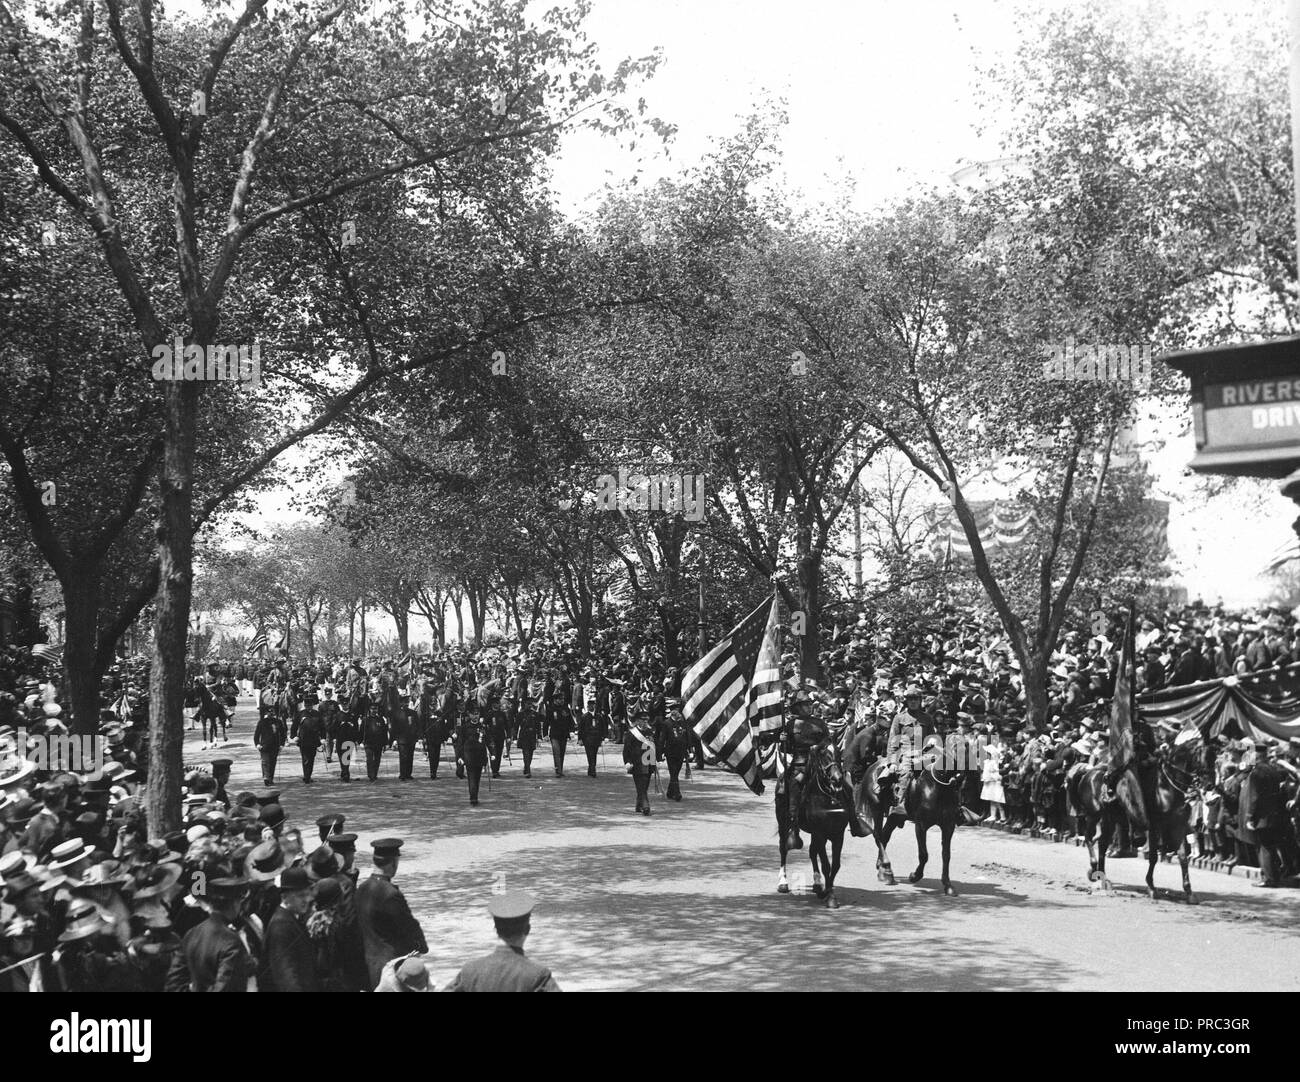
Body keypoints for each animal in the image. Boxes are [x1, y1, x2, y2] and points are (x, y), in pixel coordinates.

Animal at [774, 743, 847, 905]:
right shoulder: (820, 833)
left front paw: (827, 891)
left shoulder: (838, 835)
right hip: (783, 823)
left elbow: (835, 865)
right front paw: (830, 896)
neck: (828, 800)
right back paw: (783, 882)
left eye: (839, 753)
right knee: (783, 848)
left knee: (813, 852)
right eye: (824, 756)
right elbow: (826, 865)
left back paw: (817, 884)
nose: (837, 779)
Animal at [857, 733, 977, 894]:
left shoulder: (948, 826)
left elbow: (946, 855)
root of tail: (872, 767)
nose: (962, 778)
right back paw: (887, 871)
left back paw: (881, 867)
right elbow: (924, 854)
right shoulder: (921, 825)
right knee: (878, 835)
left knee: (884, 835)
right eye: (957, 748)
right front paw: (915, 876)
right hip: (877, 808)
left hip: (894, 817)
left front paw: (947, 885)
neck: (938, 788)